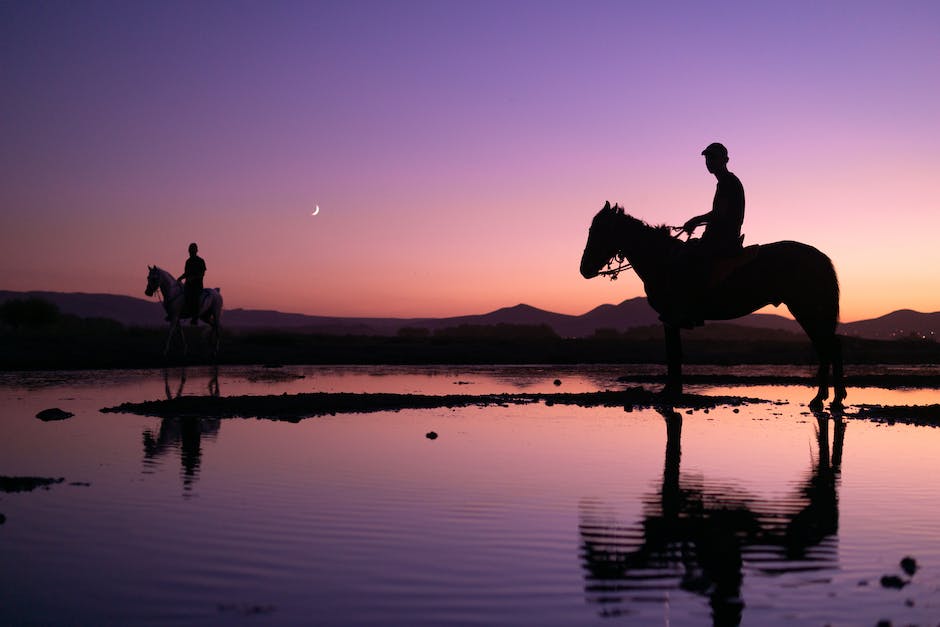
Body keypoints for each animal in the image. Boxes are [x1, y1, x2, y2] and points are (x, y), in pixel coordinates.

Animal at [576, 200, 848, 408]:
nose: (584, 269)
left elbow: (673, 354)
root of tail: (819, 257)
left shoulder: (670, 318)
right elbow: (675, 354)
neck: (662, 260)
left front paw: (670, 392)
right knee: (828, 346)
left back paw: (827, 399)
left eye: (598, 231)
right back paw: (828, 398)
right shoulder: (671, 320)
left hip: (807, 309)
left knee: (828, 347)